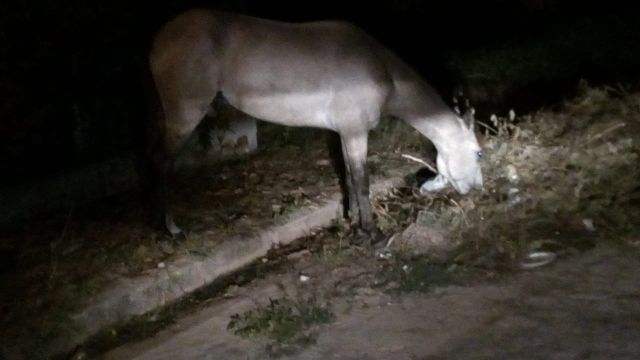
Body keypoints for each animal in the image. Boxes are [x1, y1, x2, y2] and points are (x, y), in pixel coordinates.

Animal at [148, 8, 482, 239]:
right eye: (478, 152)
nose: (477, 189)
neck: (382, 70)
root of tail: (159, 41)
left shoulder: (345, 132)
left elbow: (348, 176)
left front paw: (352, 222)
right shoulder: (356, 130)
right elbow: (362, 180)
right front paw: (371, 231)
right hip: (185, 113)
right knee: (161, 163)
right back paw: (172, 229)